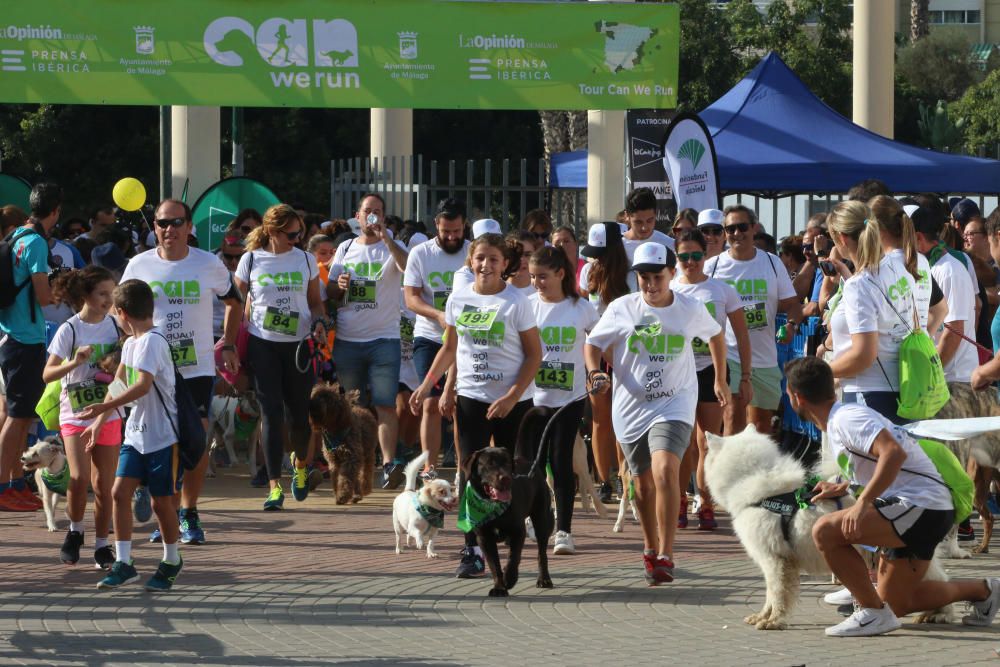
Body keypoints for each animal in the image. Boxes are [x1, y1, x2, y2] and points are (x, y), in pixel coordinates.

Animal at [462, 408, 556, 600]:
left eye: (506, 463)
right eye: (488, 465)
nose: (505, 478)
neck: (493, 505)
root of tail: (525, 459)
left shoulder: (518, 531)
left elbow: (513, 558)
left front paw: (509, 579)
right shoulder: (484, 538)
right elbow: (494, 565)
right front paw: (499, 587)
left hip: (542, 519)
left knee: (541, 553)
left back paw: (544, 579)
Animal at [704, 428, 952, 632]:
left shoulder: (775, 560)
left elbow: (777, 594)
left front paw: (773, 621)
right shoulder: (773, 561)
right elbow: (769, 595)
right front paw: (762, 617)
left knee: (938, 583)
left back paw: (940, 615)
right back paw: (932, 613)